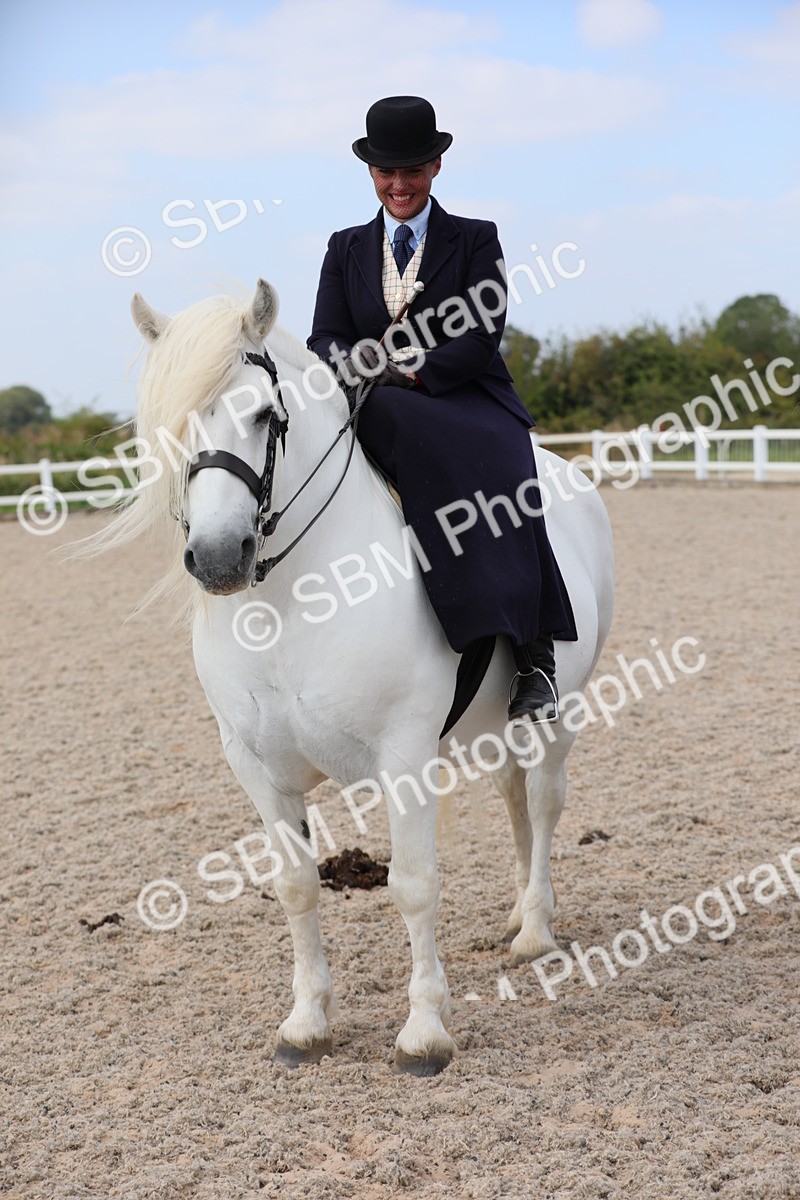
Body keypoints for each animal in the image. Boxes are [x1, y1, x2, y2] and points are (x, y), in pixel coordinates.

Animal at [84, 279, 614, 1075]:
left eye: (264, 415)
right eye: (171, 428)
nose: (219, 558)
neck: (290, 603)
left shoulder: (404, 758)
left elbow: (414, 886)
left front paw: (424, 1033)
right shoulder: (256, 767)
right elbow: (297, 887)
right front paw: (306, 1024)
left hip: (560, 715)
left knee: (546, 802)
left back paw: (536, 931)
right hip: (495, 728)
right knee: (515, 799)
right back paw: (518, 914)